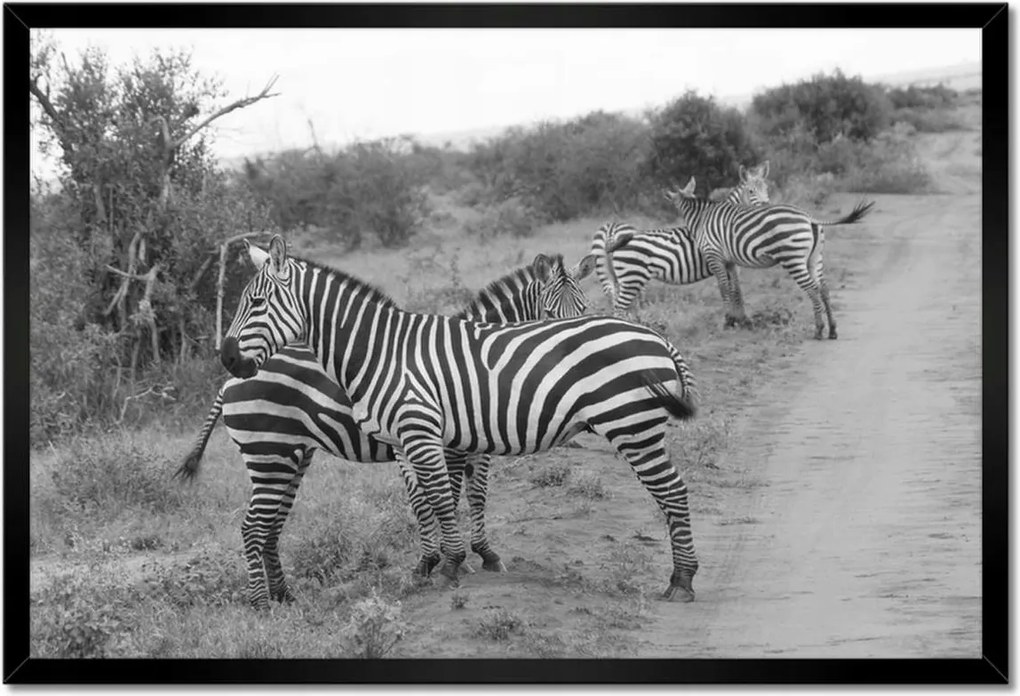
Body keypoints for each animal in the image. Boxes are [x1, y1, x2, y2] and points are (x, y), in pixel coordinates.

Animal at [177, 248, 597, 609]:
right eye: (548, 312)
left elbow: (472, 497)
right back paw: (262, 604)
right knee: (255, 527)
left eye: (584, 309)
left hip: (291, 457)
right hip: (269, 452)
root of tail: (228, 381)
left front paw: (479, 555)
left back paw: (284, 596)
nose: (571, 362)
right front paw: (450, 560)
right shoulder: (445, 443)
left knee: (271, 526)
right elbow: (442, 498)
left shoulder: (469, 441)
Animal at [591, 162, 772, 317]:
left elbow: (735, 290)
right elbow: (734, 290)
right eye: (751, 191)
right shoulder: (726, 260)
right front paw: (737, 319)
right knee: (621, 308)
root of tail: (611, 234)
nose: (766, 207)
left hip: (616, 277)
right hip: (632, 277)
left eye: (767, 188)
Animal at [664, 176, 875, 340]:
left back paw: (818, 330)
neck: (702, 218)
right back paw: (832, 330)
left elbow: (723, 288)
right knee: (824, 289)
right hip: (815, 259)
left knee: (813, 289)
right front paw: (737, 320)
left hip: (793, 259)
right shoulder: (730, 260)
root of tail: (809, 217)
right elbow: (735, 288)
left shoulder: (714, 255)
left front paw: (727, 320)